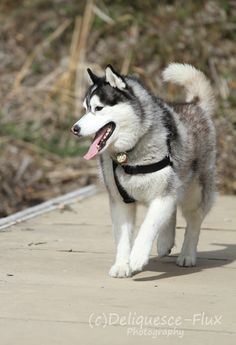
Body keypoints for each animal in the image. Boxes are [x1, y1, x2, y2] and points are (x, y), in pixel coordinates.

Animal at [70, 62, 216, 276]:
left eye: (98, 108)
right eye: (85, 109)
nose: (75, 129)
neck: (129, 154)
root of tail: (193, 105)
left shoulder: (163, 195)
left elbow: (148, 226)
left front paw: (137, 256)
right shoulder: (120, 201)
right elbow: (123, 237)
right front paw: (122, 265)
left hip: (194, 191)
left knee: (194, 219)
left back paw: (187, 254)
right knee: (172, 211)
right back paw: (165, 241)